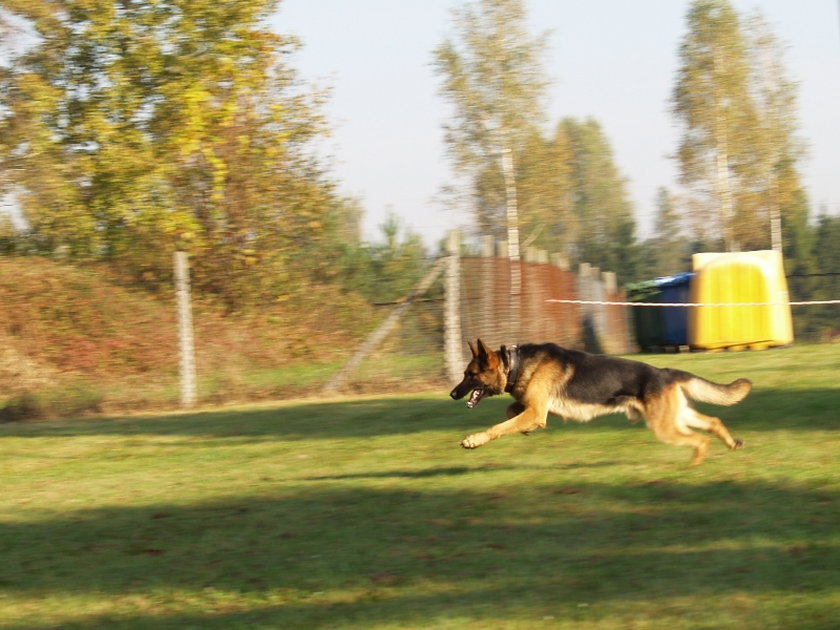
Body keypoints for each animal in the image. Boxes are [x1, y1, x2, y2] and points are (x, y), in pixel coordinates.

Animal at [450, 340, 752, 470]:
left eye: (470, 375)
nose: (452, 394)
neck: (514, 363)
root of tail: (665, 372)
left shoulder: (537, 411)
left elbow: (498, 427)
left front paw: (474, 440)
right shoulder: (535, 410)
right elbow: (511, 412)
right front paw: (523, 427)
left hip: (664, 426)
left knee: (700, 439)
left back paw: (693, 466)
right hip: (676, 416)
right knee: (713, 422)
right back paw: (731, 443)